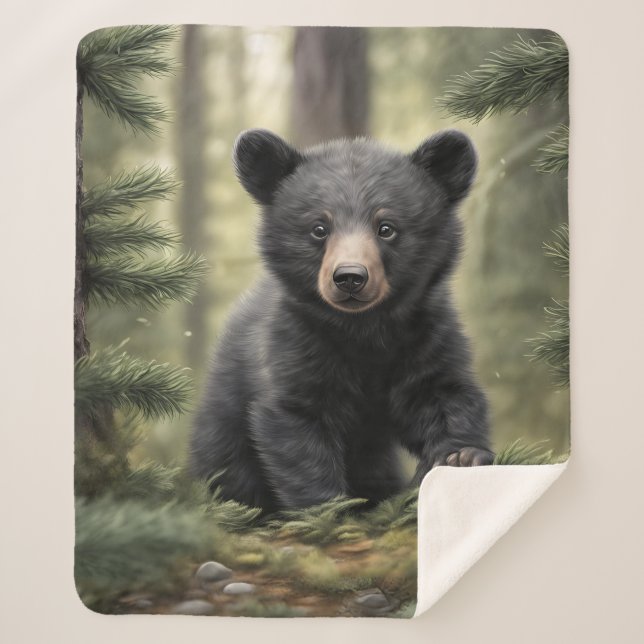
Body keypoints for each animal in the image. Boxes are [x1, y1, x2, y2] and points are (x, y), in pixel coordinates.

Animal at [189, 128, 493, 513]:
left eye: (386, 227)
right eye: (319, 228)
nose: (350, 277)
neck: (363, 329)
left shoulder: (426, 334)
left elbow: (442, 393)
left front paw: (461, 456)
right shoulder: (294, 344)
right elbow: (298, 425)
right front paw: (329, 507)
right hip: (223, 427)